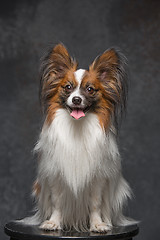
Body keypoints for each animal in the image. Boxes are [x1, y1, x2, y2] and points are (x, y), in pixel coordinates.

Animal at [22, 43, 135, 232]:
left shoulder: (97, 179)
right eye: (68, 87)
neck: (77, 127)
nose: (76, 99)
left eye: (90, 89)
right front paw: (53, 222)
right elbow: (57, 202)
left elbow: (95, 204)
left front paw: (97, 224)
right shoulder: (57, 176)